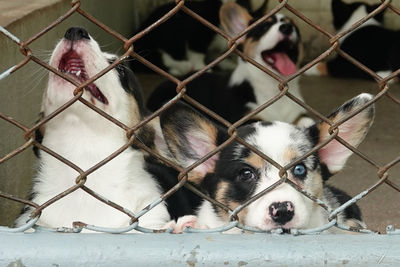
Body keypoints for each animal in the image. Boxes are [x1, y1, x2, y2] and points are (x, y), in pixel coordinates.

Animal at [148, 2, 312, 127]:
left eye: (295, 28)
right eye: (264, 27)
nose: (287, 28)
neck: (272, 86)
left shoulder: (299, 113)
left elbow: (306, 120)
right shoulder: (244, 118)